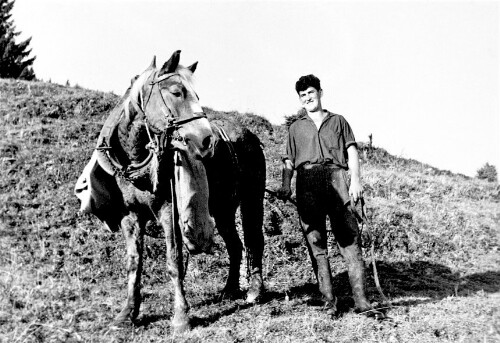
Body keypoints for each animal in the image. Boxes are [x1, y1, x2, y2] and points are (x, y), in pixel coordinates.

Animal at [73, 51, 266, 334]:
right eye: (177, 92)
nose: (207, 140)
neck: (137, 162)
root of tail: (247, 134)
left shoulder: (169, 212)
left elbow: (174, 261)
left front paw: (181, 316)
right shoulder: (130, 216)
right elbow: (134, 263)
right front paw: (127, 314)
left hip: (252, 199)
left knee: (254, 240)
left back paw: (254, 291)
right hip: (223, 208)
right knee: (235, 244)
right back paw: (229, 290)